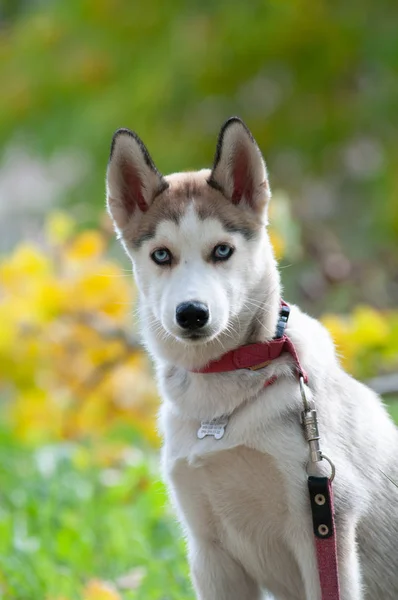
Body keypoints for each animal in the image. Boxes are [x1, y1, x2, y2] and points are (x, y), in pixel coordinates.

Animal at [105, 118, 398, 600]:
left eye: (222, 250)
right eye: (161, 255)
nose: (192, 313)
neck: (219, 408)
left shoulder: (323, 526)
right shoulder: (210, 553)